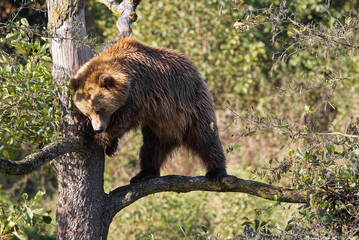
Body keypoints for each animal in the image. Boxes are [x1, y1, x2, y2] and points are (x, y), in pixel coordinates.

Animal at [69, 36, 228, 183]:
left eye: (100, 109)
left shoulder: (138, 92)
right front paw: (107, 144)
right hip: (159, 128)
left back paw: (216, 171)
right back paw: (145, 173)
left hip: (193, 109)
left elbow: (123, 121)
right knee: (151, 150)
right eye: (88, 113)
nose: (98, 129)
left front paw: (93, 137)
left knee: (206, 139)